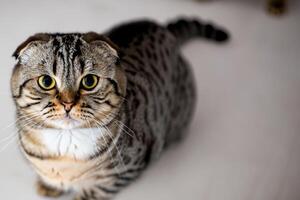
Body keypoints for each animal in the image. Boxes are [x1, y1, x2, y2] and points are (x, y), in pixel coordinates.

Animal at [9, 18, 230, 199]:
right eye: (46, 81)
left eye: (89, 81)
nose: (68, 103)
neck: (65, 149)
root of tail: (164, 29)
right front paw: (49, 186)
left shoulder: (124, 171)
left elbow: (94, 192)